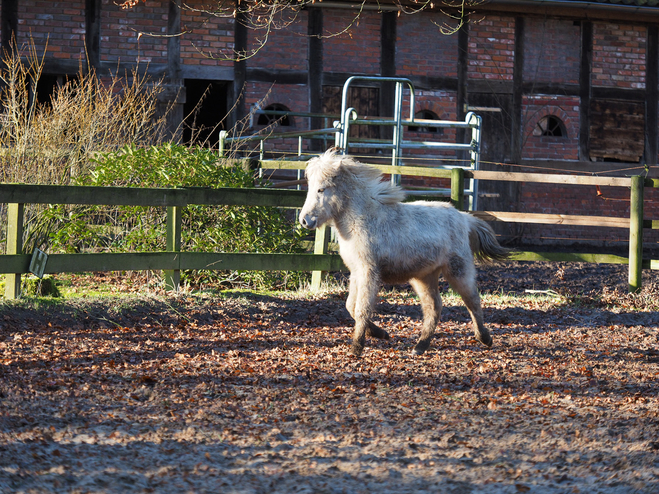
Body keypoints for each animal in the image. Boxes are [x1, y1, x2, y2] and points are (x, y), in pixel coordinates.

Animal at [300, 149, 510, 356]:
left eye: (321, 189)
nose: (305, 220)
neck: (363, 219)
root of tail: (465, 218)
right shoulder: (356, 272)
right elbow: (350, 306)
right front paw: (380, 333)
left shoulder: (369, 272)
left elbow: (362, 309)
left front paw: (356, 348)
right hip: (424, 277)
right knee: (434, 307)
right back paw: (420, 346)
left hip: (458, 271)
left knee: (472, 300)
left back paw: (485, 338)